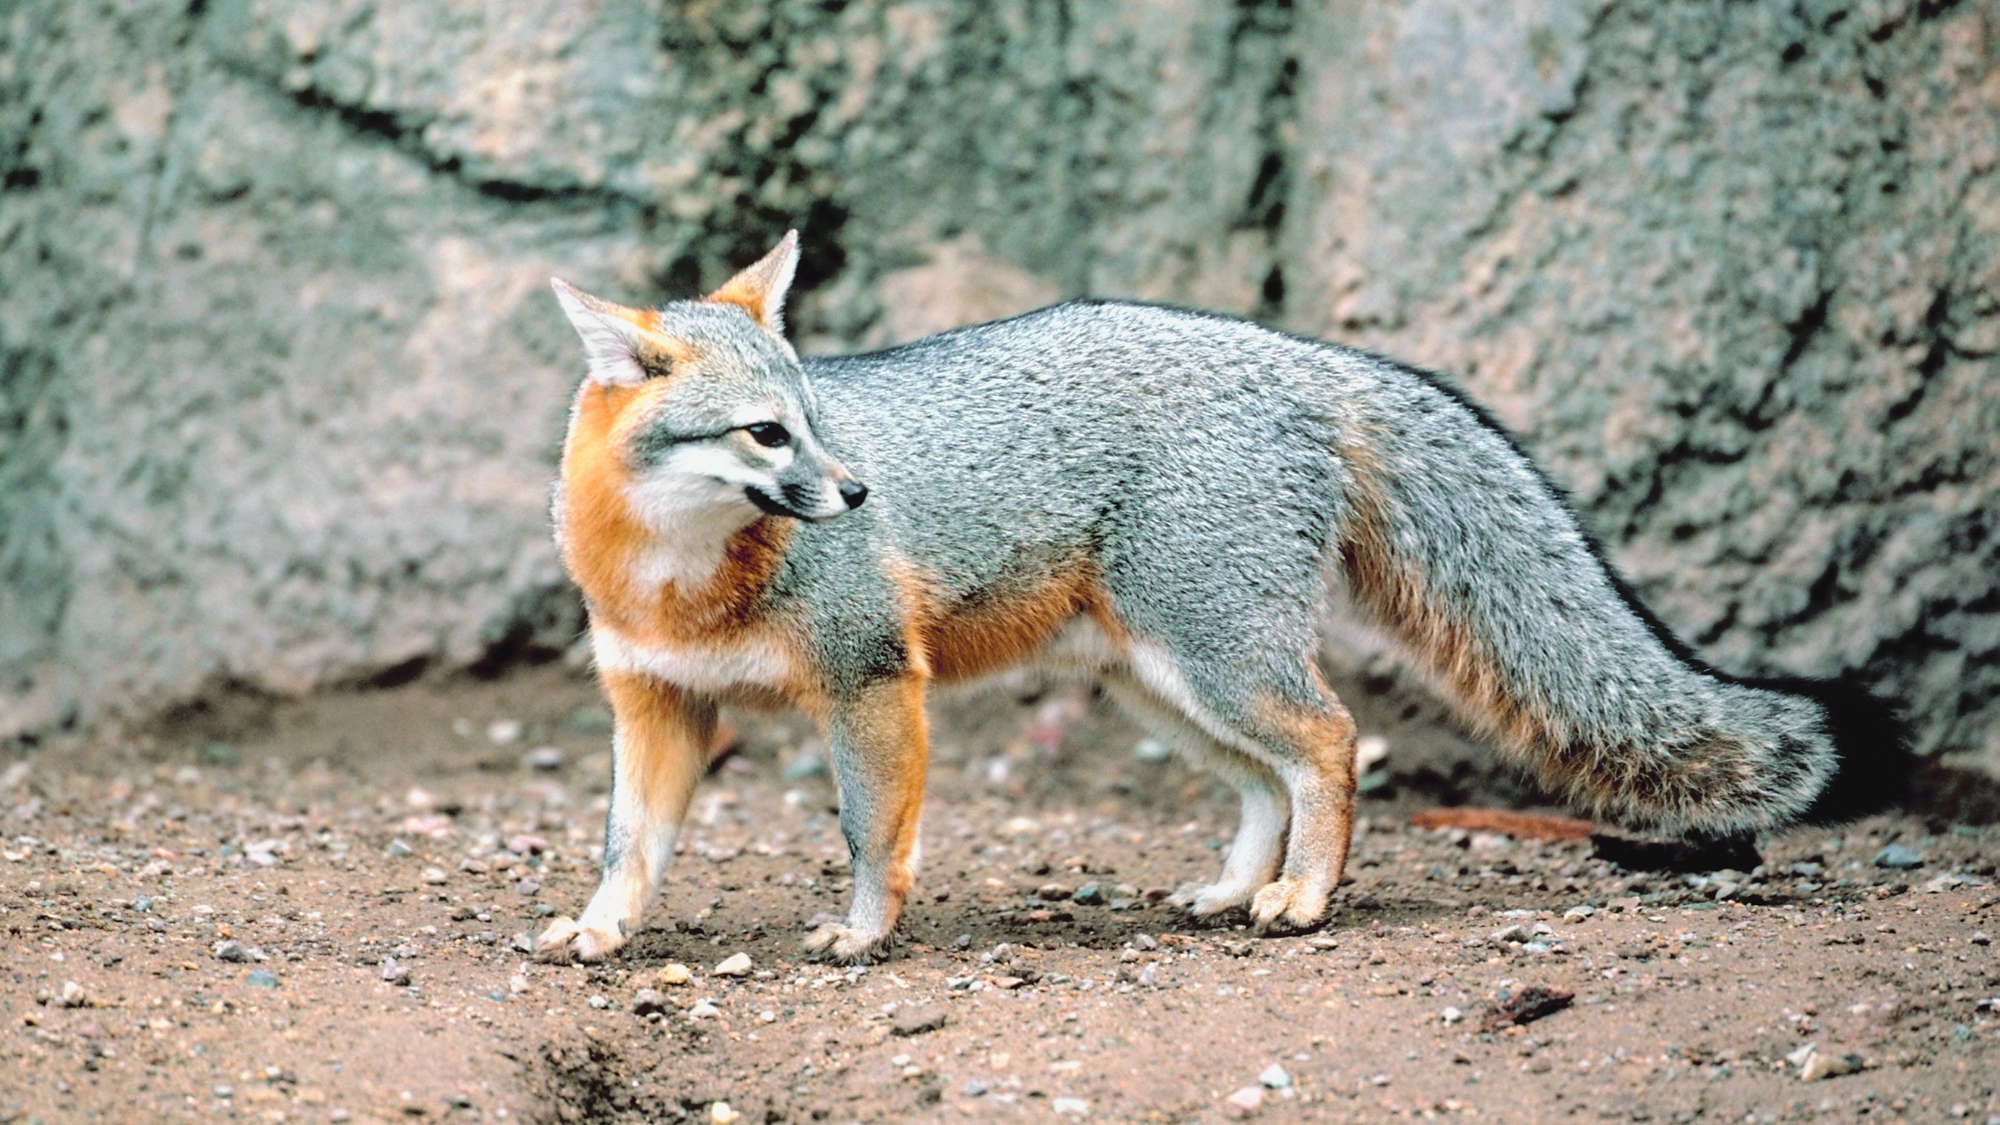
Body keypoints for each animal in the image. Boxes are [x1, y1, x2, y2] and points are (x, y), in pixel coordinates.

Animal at [536, 232, 1904, 960]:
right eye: (769, 435)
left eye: (817, 422)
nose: (862, 491)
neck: (677, 577)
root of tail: (1300, 357)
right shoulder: (655, 705)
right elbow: (625, 845)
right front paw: (598, 932)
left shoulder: (871, 681)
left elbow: (872, 832)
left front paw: (864, 935)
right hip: (1158, 682)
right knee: (1267, 779)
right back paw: (1242, 887)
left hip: (1212, 657)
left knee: (1331, 743)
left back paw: (1301, 897)